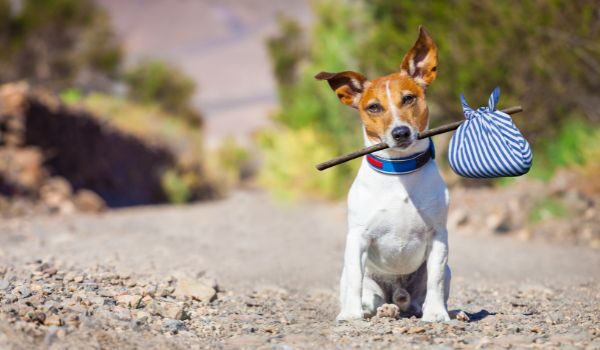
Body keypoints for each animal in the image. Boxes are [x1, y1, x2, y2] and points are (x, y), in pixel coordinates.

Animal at [316, 26, 452, 322]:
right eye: (374, 107)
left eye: (409, 98)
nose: (400, 132)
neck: (400, 171)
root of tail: (397, 294)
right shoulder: (357, 238)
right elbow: (356, 280)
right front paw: (351, 315)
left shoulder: (438, 236)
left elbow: (435, 278)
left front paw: (437, 314)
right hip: (360, 279)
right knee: (370, 296)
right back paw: (382, 309)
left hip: (439, 274)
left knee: (419, 299)